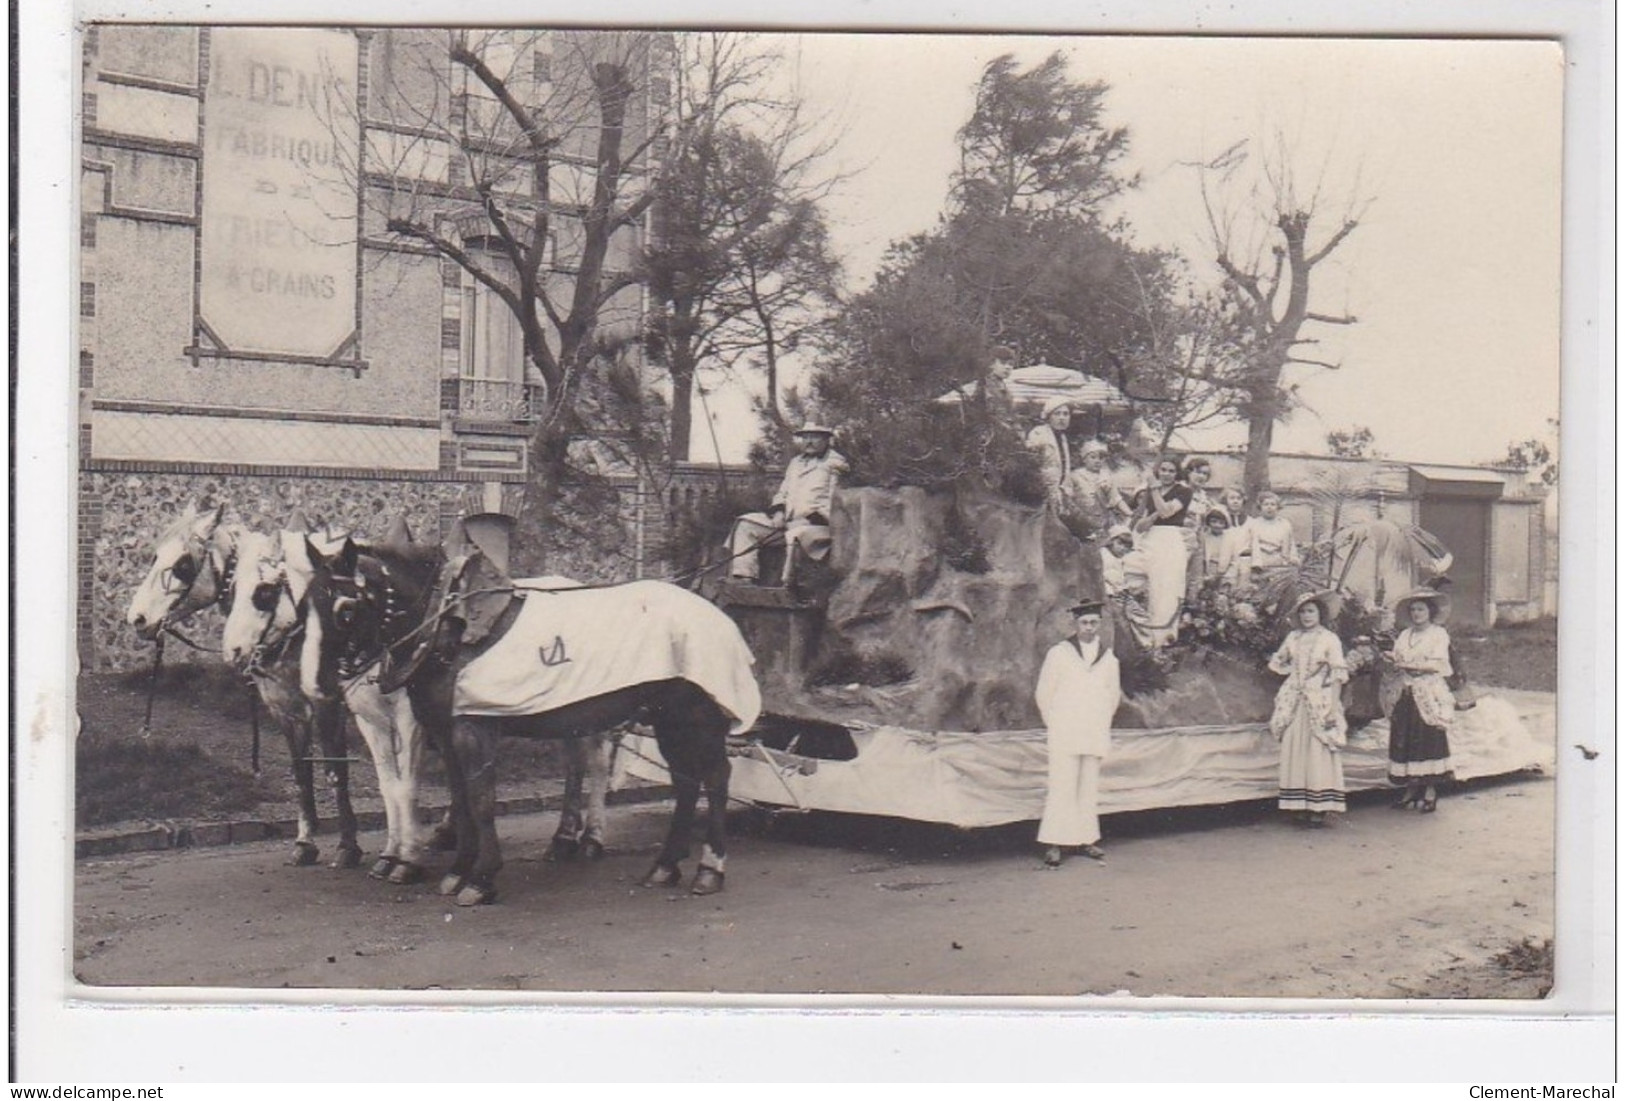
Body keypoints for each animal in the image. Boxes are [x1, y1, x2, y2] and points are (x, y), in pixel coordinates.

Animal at [122, 500, 362, 870]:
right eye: (154, 556)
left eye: (183, 564)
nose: (138, 619)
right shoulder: (285, 709)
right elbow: (301, 772)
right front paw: (305, 843)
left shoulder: (328, 705)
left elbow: (336, 772)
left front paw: (348, 846)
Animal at [305, 539, 760, 909]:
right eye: (307, 604)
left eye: (345, 609)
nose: (317, 686)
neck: (448, 627)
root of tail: (716, 615)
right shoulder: (444, 732)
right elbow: (461, 799)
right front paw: (458, 870)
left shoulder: (473, 729)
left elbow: (480, 800)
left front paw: (481, 878)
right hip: (668, 719)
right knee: (685, 782)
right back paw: (664, 866)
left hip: (697, 718)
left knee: (716, 777)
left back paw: (709, 869)